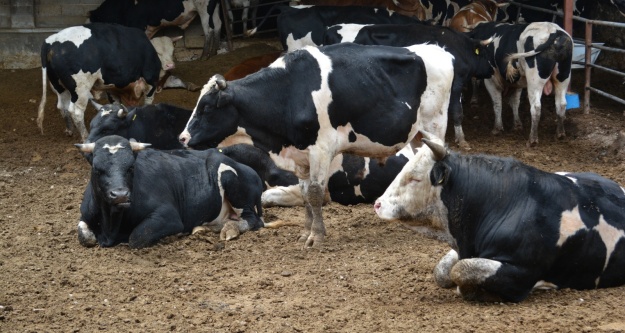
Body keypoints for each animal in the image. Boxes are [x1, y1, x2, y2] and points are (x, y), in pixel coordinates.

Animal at [37, 23, 178, 140]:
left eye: (172, 51)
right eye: (159, 52)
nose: (170, 65)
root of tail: (51, 41)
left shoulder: (112, 87)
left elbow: (117, 106)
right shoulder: (151, 81)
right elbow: (148, 102)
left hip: (59, 86)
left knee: (62, 107)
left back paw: (70, 130)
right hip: (80, 89)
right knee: (76, 112)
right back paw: (85, 136)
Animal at [75, 134, 266, 246]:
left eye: (131, 167)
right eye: (97, 169)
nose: (120, 195)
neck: (111, 225)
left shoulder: (169, 216)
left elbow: (137, 237)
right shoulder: (85, 214)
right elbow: (84, 235)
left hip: (234, 185)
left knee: (253, 220)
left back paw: (229, 229)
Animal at [179, 42, 454, 246]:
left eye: (206, 108)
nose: (182, 138)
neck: (288, 92)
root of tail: (438, 50)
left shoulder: (321, 149)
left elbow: (314, 192)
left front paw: (316, 236)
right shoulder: (300, 155)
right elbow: (304, 193)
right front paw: (305, 232)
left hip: (434, 126)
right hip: (418, 136)